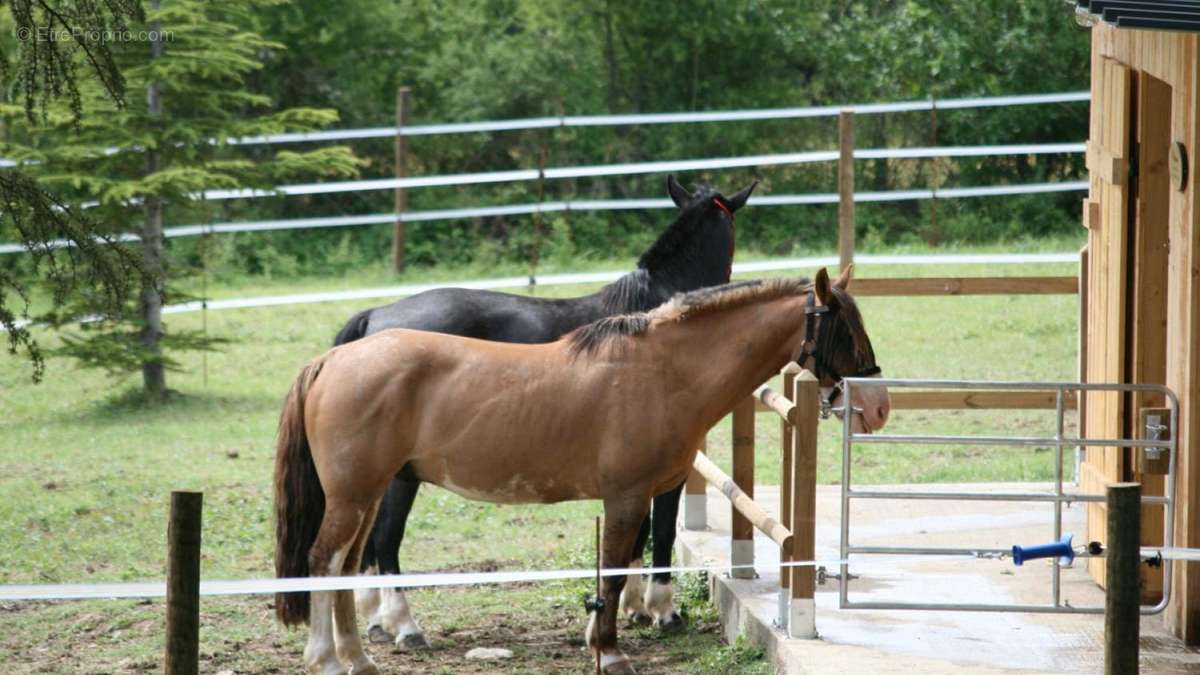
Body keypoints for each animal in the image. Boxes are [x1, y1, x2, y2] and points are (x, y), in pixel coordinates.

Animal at [274, 265, 892, 667]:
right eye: (843, 328)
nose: (878, 406)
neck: (662, 370)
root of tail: (333, 359)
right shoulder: (627, 497)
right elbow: (616, 572)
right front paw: (611, 651)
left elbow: (619, 570)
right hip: (357, 496)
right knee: (324, 563)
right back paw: (329, 657)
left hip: (367, 493)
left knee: (346, 567)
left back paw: (358, 659)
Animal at [333, 174, 753, 648]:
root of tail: (378, 316)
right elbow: (659, 532)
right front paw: (662, 610)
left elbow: (635, 535)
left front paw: (630, 607)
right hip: (402, 475)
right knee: (387, 540)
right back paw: (405, 626)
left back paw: (374, 620)